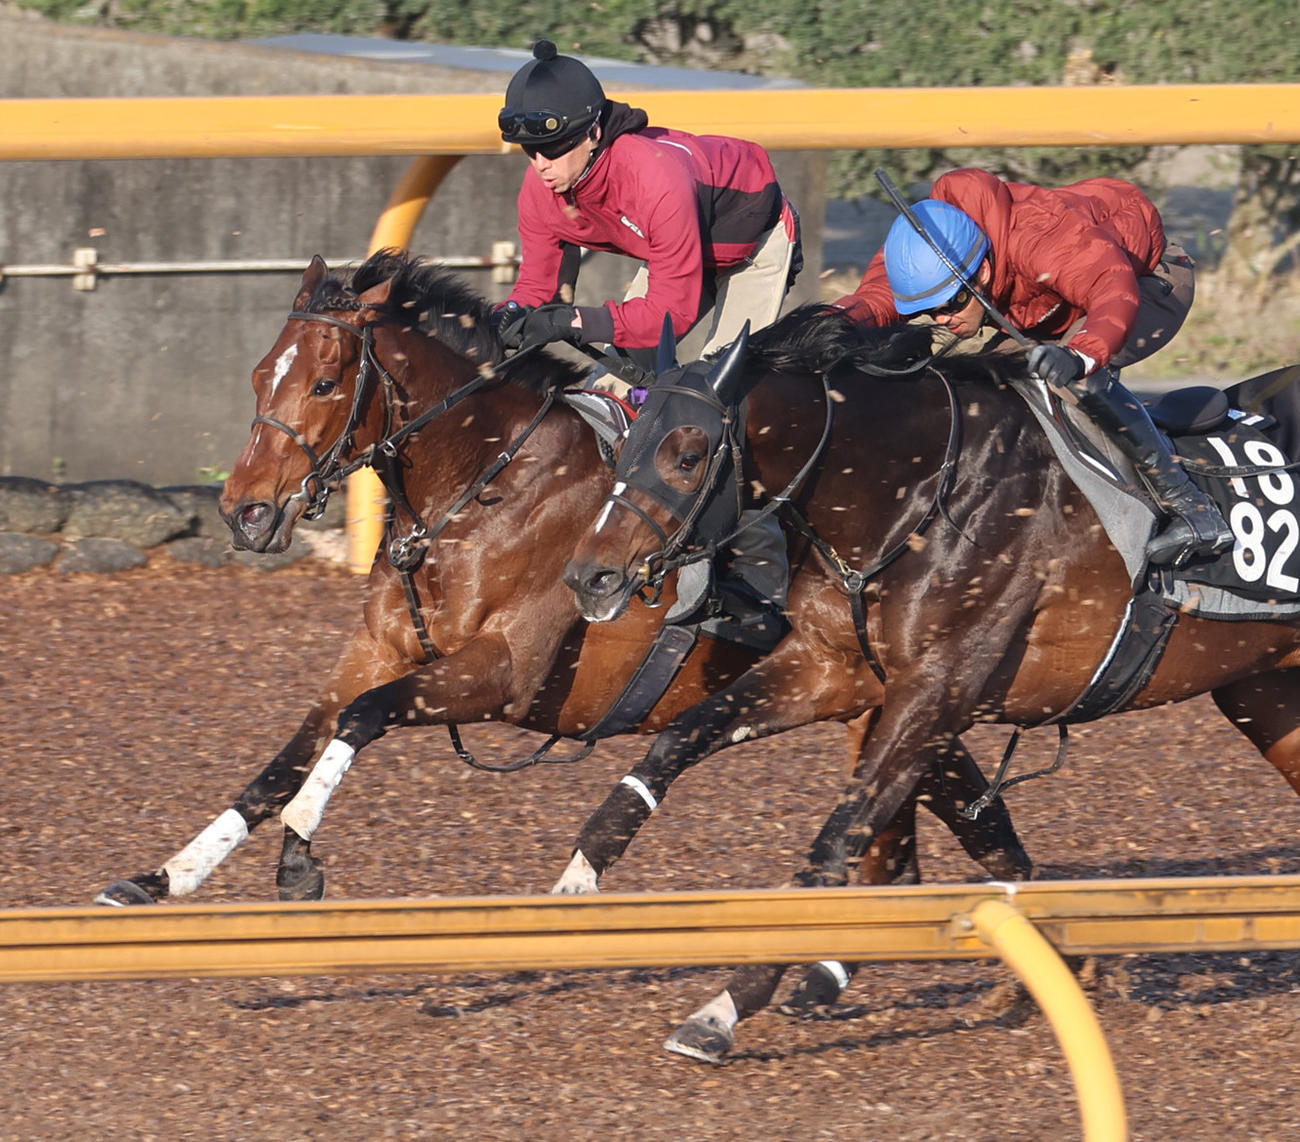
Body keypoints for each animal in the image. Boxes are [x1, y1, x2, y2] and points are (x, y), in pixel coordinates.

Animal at [95, 252, 1032, 1000]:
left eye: (325, 384)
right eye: (261, 376)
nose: (246, 513)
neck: (484, 483)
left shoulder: (502, 673)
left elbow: (358, 724)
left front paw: (297, 863)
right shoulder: (376, 651)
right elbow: (285, 758)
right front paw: (162, 878)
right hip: (872, 703)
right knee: (936, 830)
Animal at [562, 304, 1300, 1061]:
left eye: (686, 454)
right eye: (623, 447)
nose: (590, 578)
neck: (918, 494)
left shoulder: (936, 691)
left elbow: (838, 839)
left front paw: (724, 1008)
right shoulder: (834, 667)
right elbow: (677, 741)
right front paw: (576, 879)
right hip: (1267, 695)